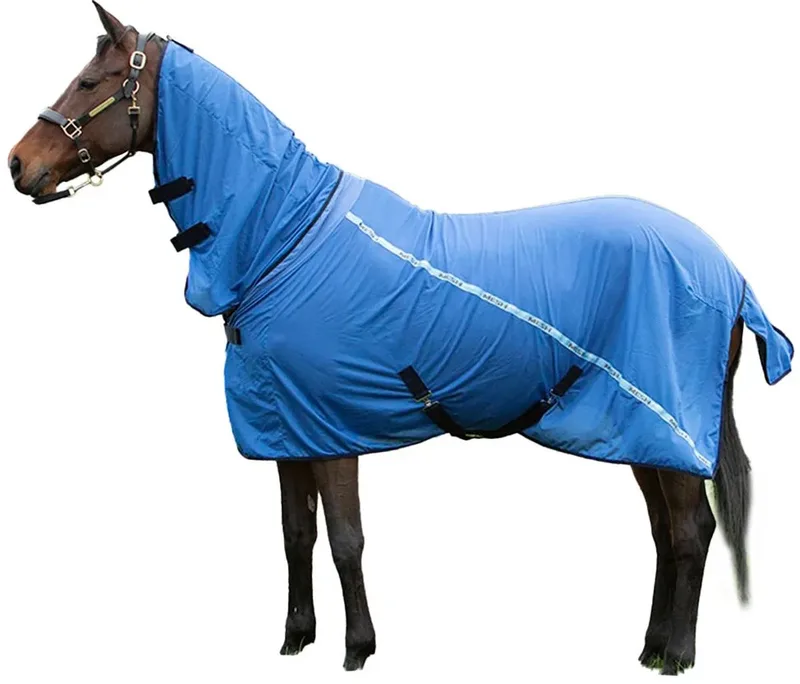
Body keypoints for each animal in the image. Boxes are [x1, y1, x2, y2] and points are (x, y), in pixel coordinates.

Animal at [8, 3, 793, 675]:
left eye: (90, 82)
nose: (18, 164)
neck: (285, 238)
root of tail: (729, 274)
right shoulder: (287, 429)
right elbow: (297, 536)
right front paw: (296, 638)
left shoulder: (331, 429)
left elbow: (346, 540)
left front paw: (358, 648)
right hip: (638, 434)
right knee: (665, 532)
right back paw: (649, 648)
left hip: (667, 428)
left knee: (690, 532)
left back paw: (677, 655)